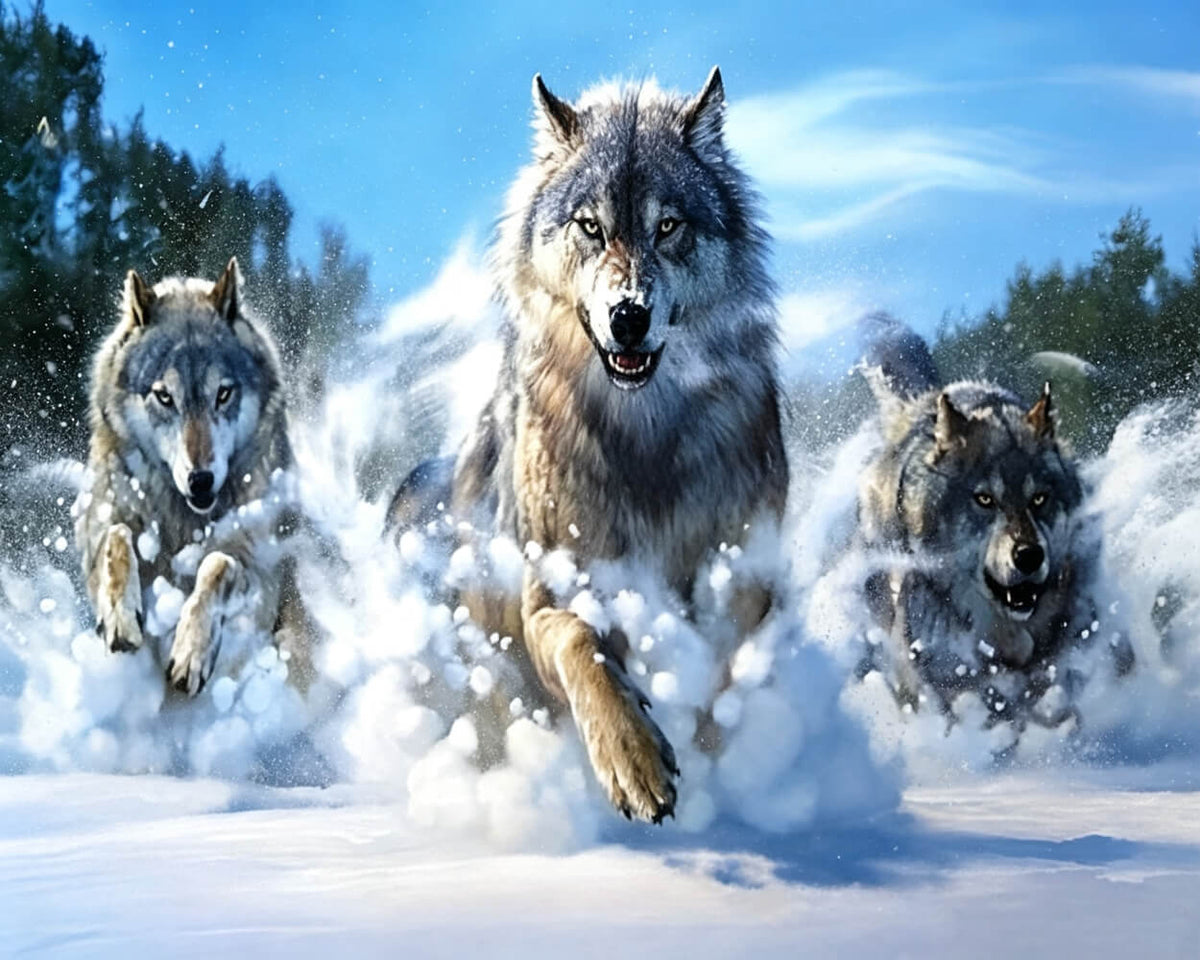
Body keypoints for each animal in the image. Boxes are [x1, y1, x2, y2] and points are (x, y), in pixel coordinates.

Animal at [76, 259, 311, 696]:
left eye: (223, 394)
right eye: (164, 396)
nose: (201, 480)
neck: (183, 519)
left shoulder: (258, 572)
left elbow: (216, 564)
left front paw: (191, 652)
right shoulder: (102, 528)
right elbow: (117, 538)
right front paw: (120, 617)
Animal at [387, 68, 788, 823]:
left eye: (668, 226)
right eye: (591, 227)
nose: (627, 316)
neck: (643, 436)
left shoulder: (744, 582)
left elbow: (722, 678)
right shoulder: (548, 596)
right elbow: (580, 639)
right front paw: (633, 760)